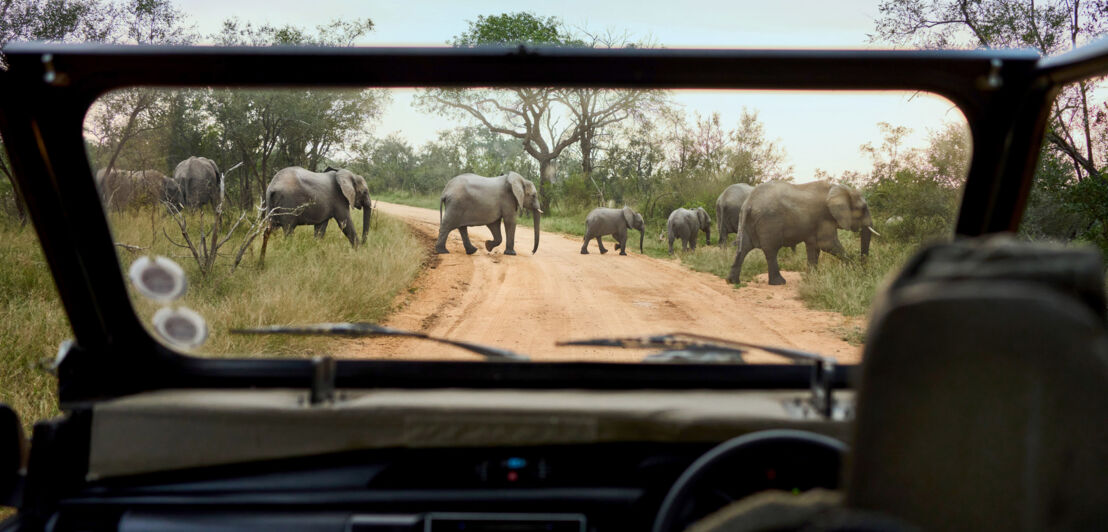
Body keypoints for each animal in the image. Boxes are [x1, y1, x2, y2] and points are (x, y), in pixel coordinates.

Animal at [722, 179, 877, 285]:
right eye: (863, 208)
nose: (866, 271)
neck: (838, 188)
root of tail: (748, 203)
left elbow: (814, 247)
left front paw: (812, 278)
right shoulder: (825, 217)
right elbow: (827, 244)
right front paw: (856, 269)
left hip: (748, 221)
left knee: (743, 247)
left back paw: (732, 281)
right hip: (769, 222)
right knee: (771, 250)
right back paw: (779, 283)